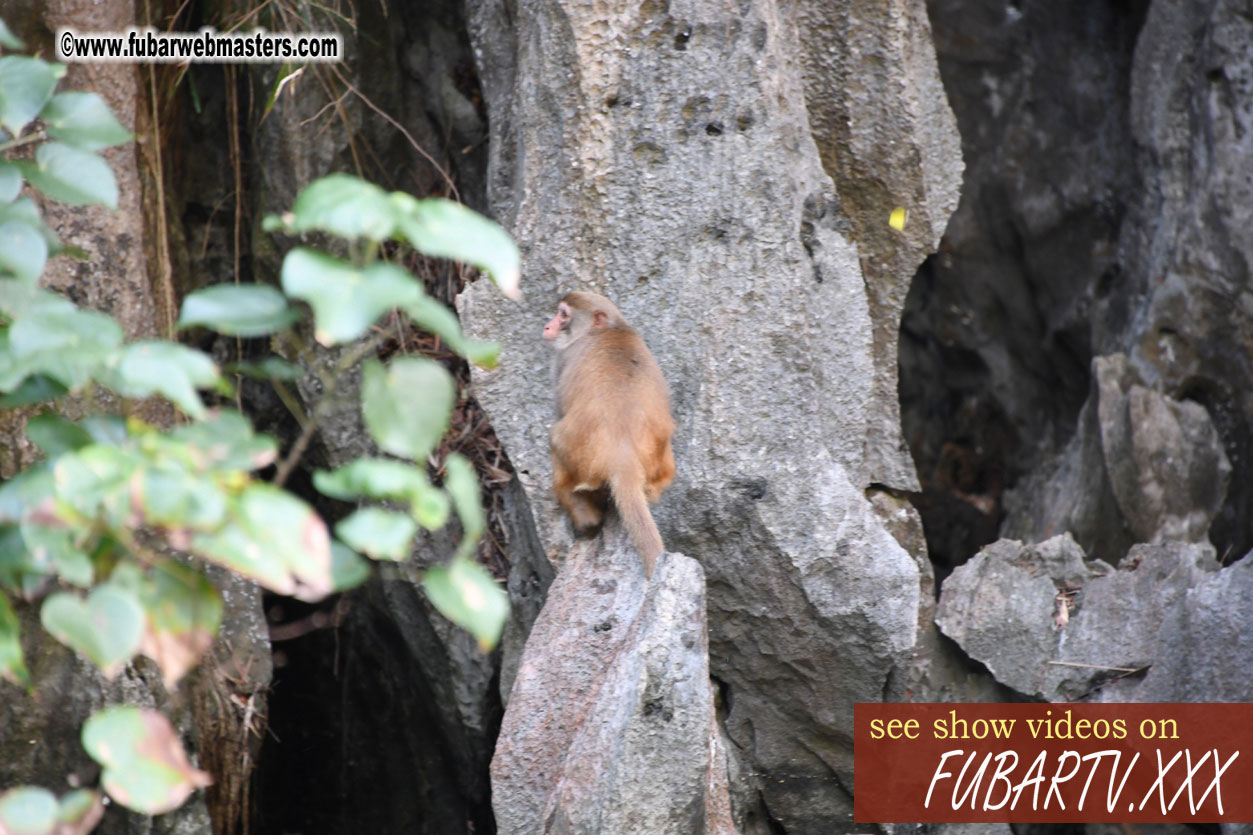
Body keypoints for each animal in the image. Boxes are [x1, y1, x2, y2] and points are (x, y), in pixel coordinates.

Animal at [541, 289, 676, 576]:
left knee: (555, 438)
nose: (548, 326)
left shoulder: (563, 359)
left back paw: (584, 516)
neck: (611, 328)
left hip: (579, 457)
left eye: (563, 315)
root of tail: (622, 457)